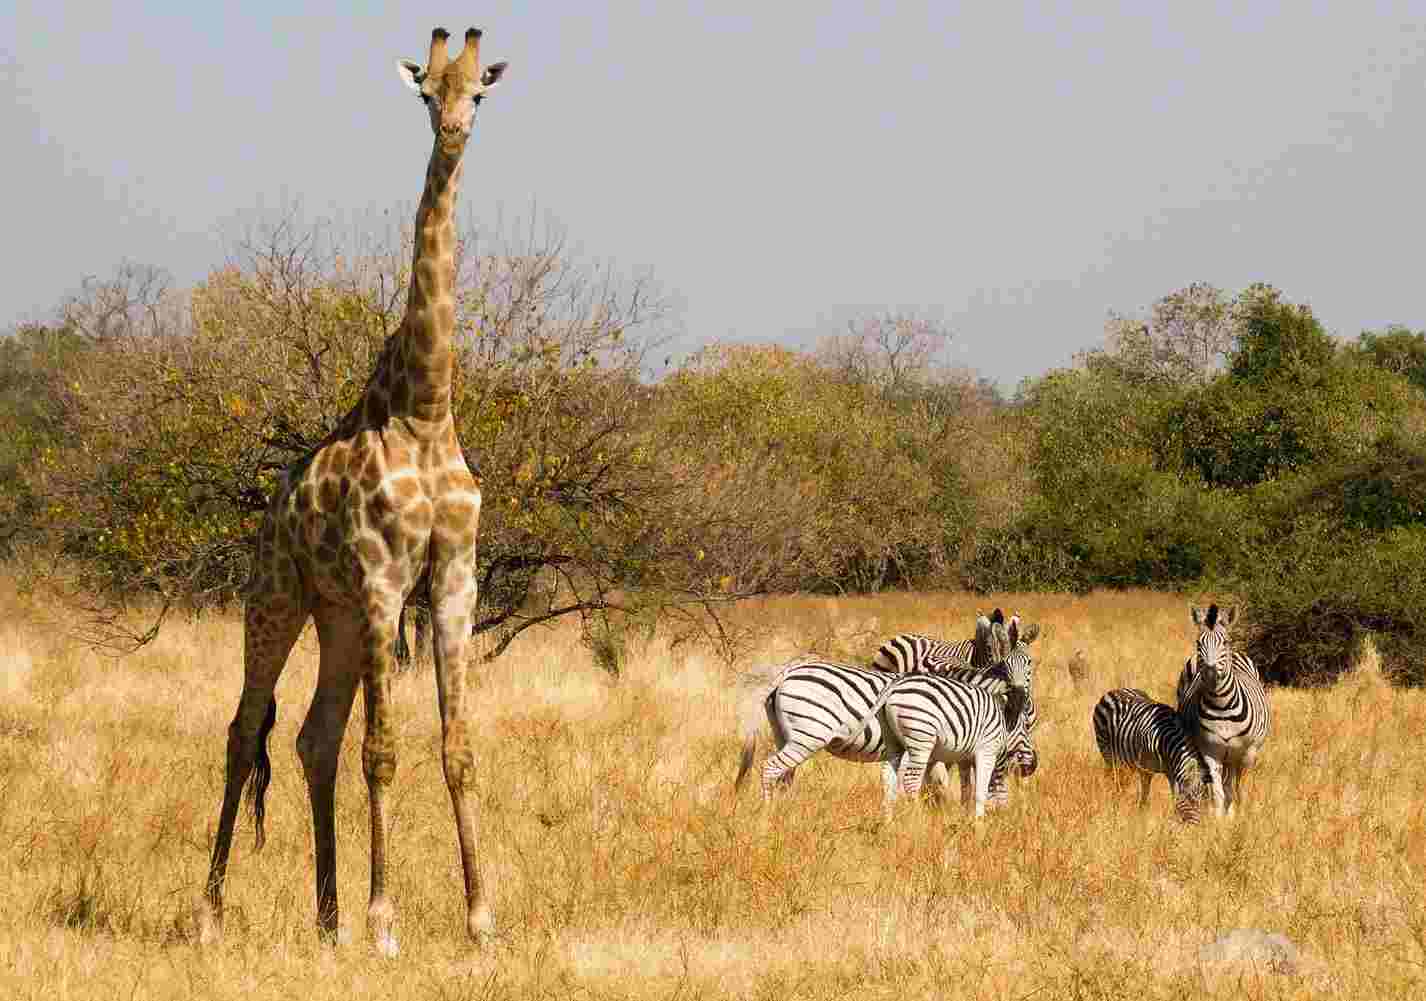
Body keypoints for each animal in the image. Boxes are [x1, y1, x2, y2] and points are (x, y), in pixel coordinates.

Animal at [198, 29, 513, 958]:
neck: (429, 405)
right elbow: (384, 749)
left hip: (334, 618)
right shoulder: (383, 578)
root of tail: (267, 518)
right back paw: (211, 914)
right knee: (245, 731)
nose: (453, 133)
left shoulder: (453, 580)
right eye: (426, 94)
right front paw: (386, 923)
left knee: (311, 737)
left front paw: (481, 918)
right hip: (275, 598)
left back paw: (326, 919)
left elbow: (456, 747)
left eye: (477, 92)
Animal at [832, 670, 1038, 821]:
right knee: (911, 782)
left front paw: (964, 817)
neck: (1003, 722)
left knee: (888, 779)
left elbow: (967, 790)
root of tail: (893, 687)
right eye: (1026, 727)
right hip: (921, 736)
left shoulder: (964, 758)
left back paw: (888, 822)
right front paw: (979, 824)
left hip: (892, 740)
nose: (1033, 766)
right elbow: (980, 789)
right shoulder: (986, 750)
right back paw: (918, 820)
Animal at [1095, 690, 1209, 821]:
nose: (1198, 824)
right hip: (1108, 753)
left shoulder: (1170, 771)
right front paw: (1142, 813)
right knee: (1113, 778)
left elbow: (1171, 794)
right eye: (1189, 800)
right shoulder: (1145, 768)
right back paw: (1114, 799)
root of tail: (1114, 691)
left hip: (1125, 760)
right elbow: (1147, 793)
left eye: (1202, 802)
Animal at [1175, 607, 1266, 821]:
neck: (1221, 705)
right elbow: (1218, 791)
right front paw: (1219, 820)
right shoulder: (1210, 751)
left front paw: (1240, 817)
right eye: (1198, 643)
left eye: (1224, 642)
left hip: (1236, 754)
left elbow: (1239, 789)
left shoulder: (1246, 752)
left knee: (1233, 782)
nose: (1209, 674)